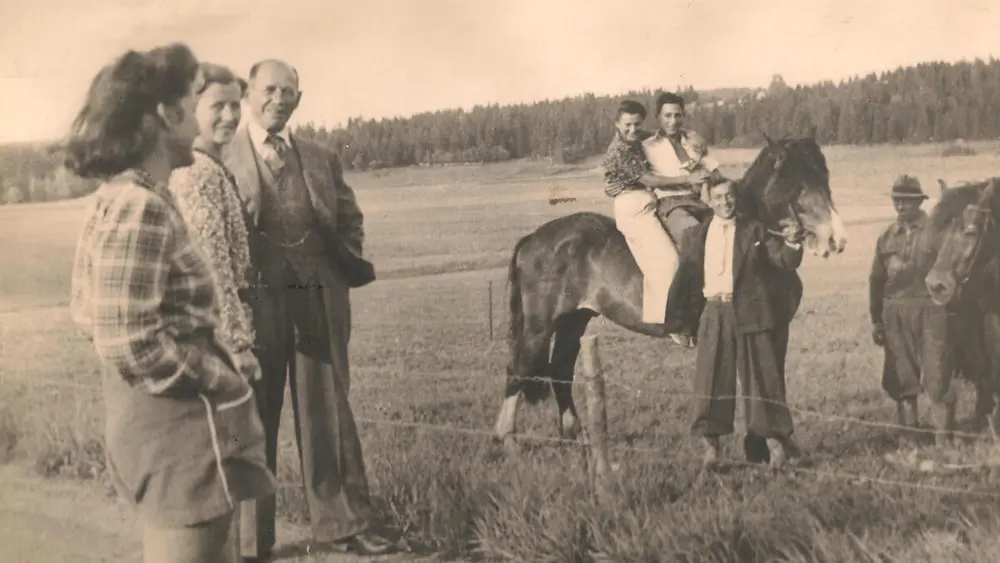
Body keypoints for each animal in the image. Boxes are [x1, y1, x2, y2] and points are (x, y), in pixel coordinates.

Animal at [492, 137, 844, 446]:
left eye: (824, 177)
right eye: (798, 182)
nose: (836, 239)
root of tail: (533, 238)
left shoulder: (776, 331)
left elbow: (772, 388)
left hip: (573, 319)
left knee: (560, 372)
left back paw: (575, 435)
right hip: (540, 325)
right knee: (518, 371)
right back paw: (507, 438)